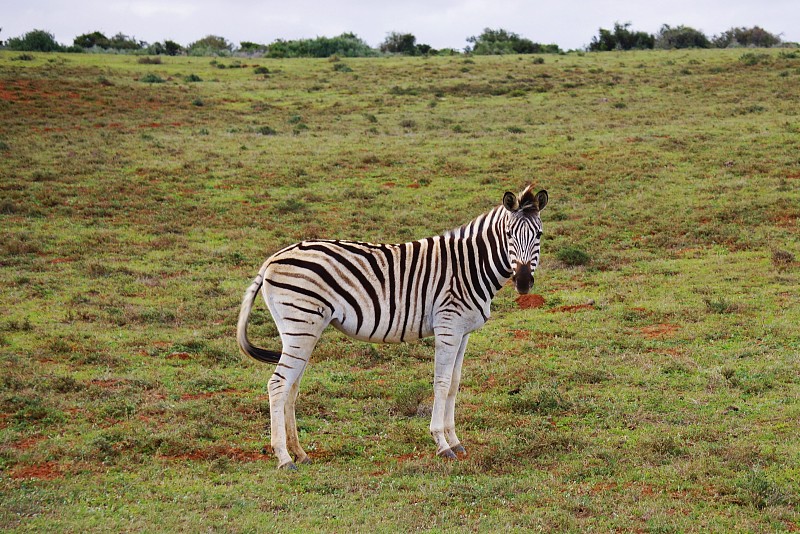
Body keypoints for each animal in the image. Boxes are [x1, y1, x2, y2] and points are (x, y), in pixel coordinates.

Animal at [238, 186, 548, 472]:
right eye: (509, 235)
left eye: (539, 236)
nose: (523, 282)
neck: (470, 267)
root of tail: (272, 259)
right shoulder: (448, 325)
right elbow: (441, 383)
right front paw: (442, 443)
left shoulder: (463, 332)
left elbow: (454, 384)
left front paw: (456, 440)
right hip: (300, 324)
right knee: (278, 384)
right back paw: (284, 457)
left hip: (302, 330)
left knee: (291, 385)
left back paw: (300, 452)